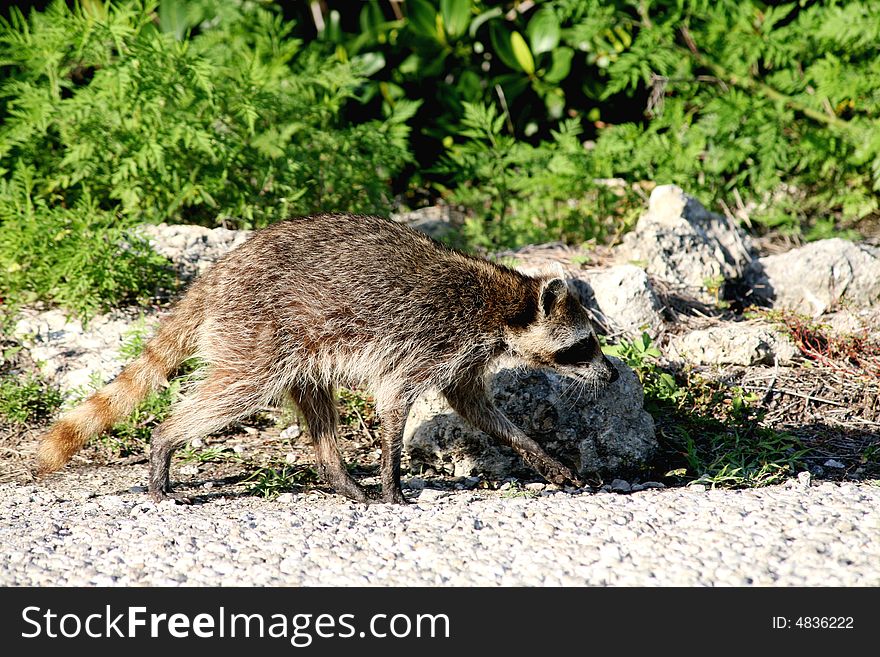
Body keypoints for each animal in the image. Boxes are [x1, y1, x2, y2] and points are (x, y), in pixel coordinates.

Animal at [37, 213, 620, 504]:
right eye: (584, 345)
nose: (612, 372)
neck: (502, 303)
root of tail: (217, 273)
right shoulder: (430, 339)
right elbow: (395, 401)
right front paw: (392, 476)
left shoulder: (462, 358)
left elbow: (476, 408)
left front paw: (540, 455)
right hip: (255, 331)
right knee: (234, 390)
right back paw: (165, 442)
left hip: (300, 347)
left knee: (317, 405)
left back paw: (337, 474)